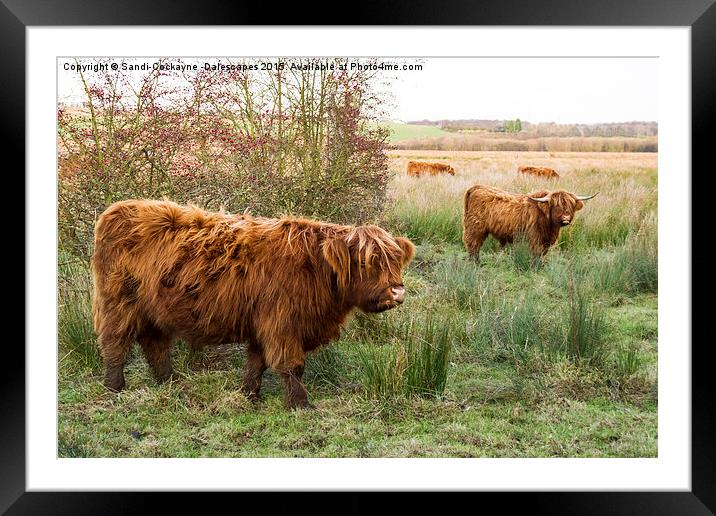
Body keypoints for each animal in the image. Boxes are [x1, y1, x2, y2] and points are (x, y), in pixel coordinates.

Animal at [91, 200, 414, 410]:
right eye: (366, 262)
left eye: (397, 261)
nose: (397, 291)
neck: (317, 271)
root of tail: (116, 209)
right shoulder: (282, 324)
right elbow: (292, 366)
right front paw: (300, 405)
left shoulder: (265, 324)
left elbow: (256, 363)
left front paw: (250, 396)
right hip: (118, 304)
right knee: (115, 343)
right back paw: (114, 388)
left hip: (153, 310)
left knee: (155, 345)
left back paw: (169, 382)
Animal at [462, 183, 596, 260]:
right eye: (556, 206)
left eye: (570, 205)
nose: (566, 218)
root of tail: (476, 187)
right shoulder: (535, 237)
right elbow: (536, 253)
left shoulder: (545, 240)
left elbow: (542, 254)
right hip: (475, 227)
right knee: (473, 245)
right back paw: (475, 263)